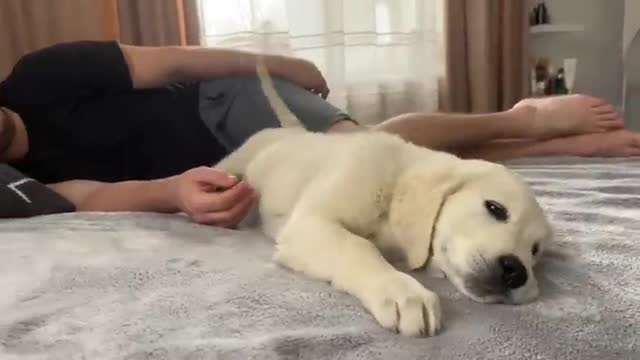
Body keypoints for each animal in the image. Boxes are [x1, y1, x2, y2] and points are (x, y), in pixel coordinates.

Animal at [212, 62, 552, 338]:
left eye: (535, 250)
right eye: (495, 208)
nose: (517, 271)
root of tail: (293, 131)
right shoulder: (311, 224)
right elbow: (357, 246)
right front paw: (404, 293)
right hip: (234, 163)